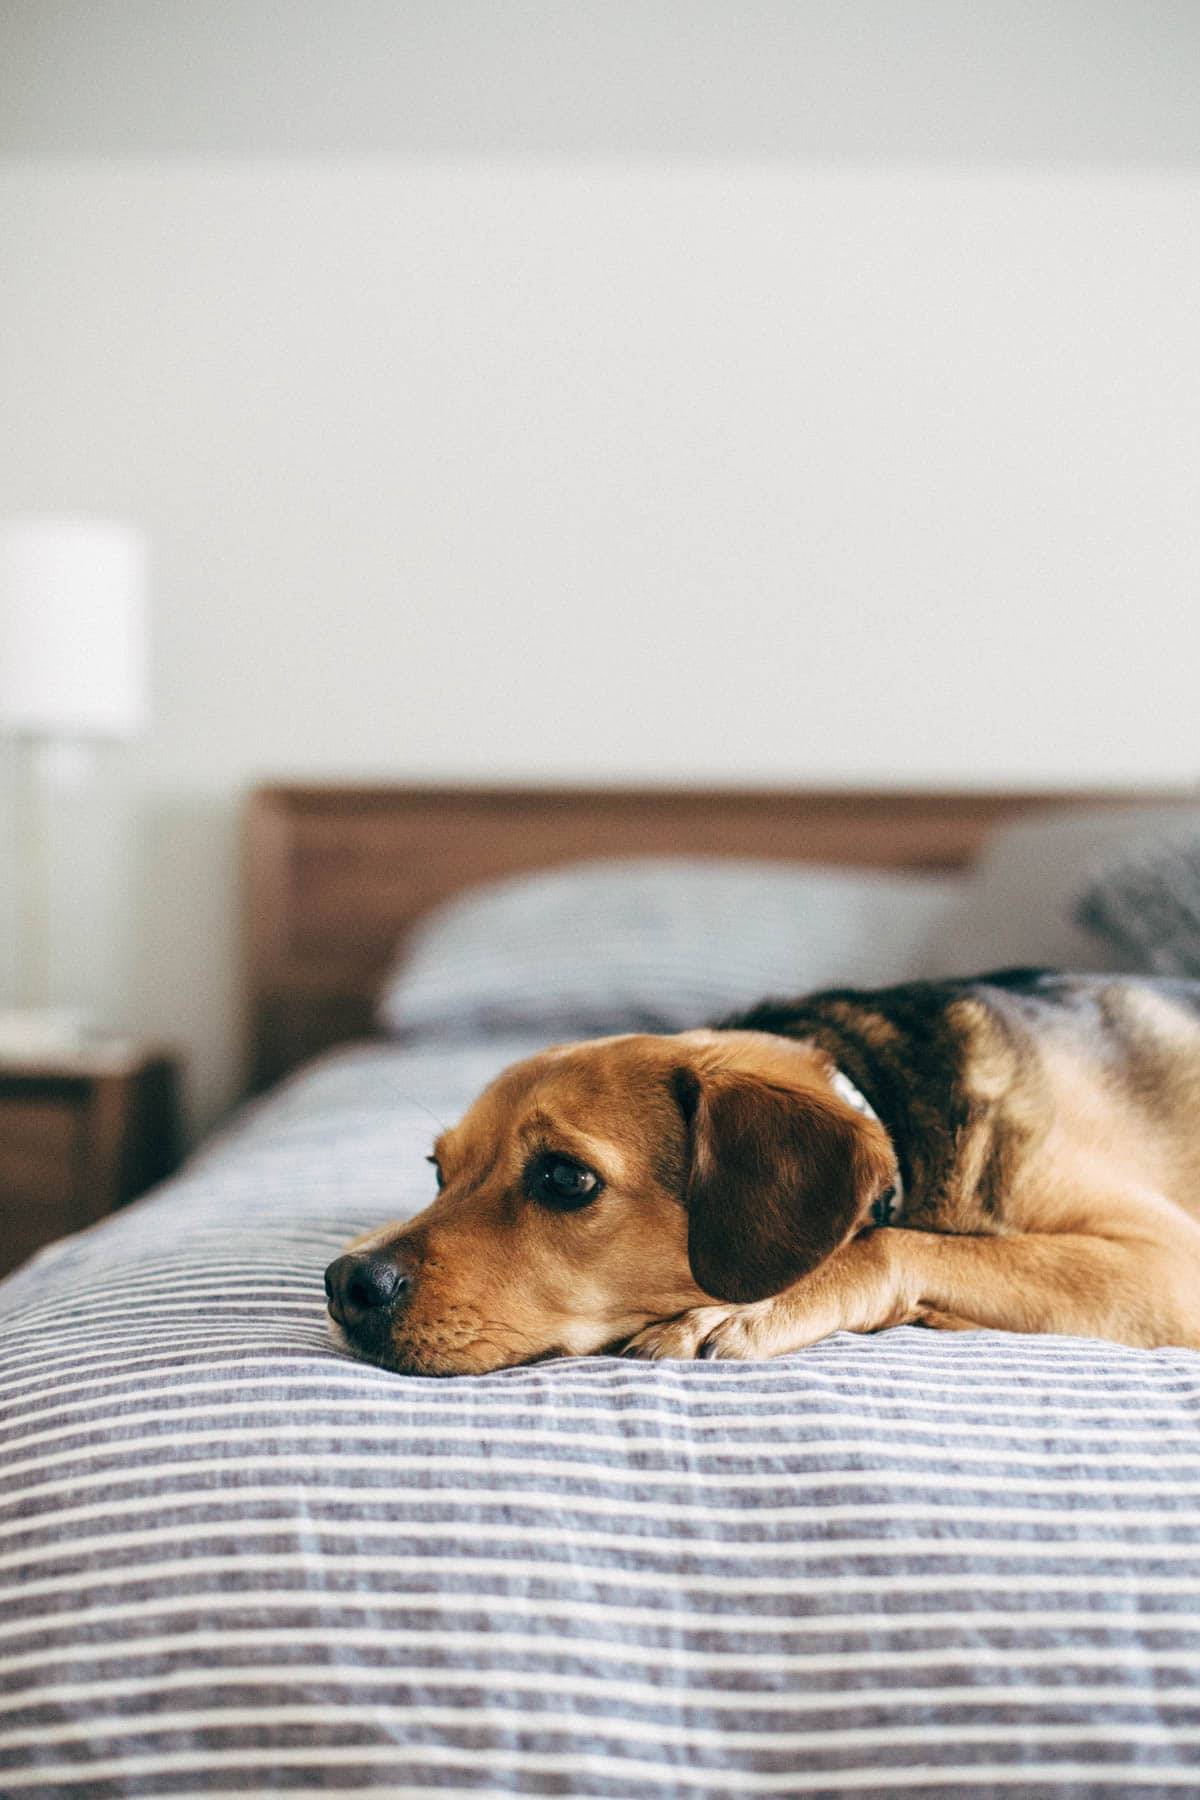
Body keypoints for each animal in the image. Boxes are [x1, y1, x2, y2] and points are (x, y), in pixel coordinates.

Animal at [323, 972, 1200, 1375]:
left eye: (566, 1180)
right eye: (437, 1171)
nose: (346, 1283)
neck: (878, 1093)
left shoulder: (1168, 1266)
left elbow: (885, 1245)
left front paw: (747, 1310)